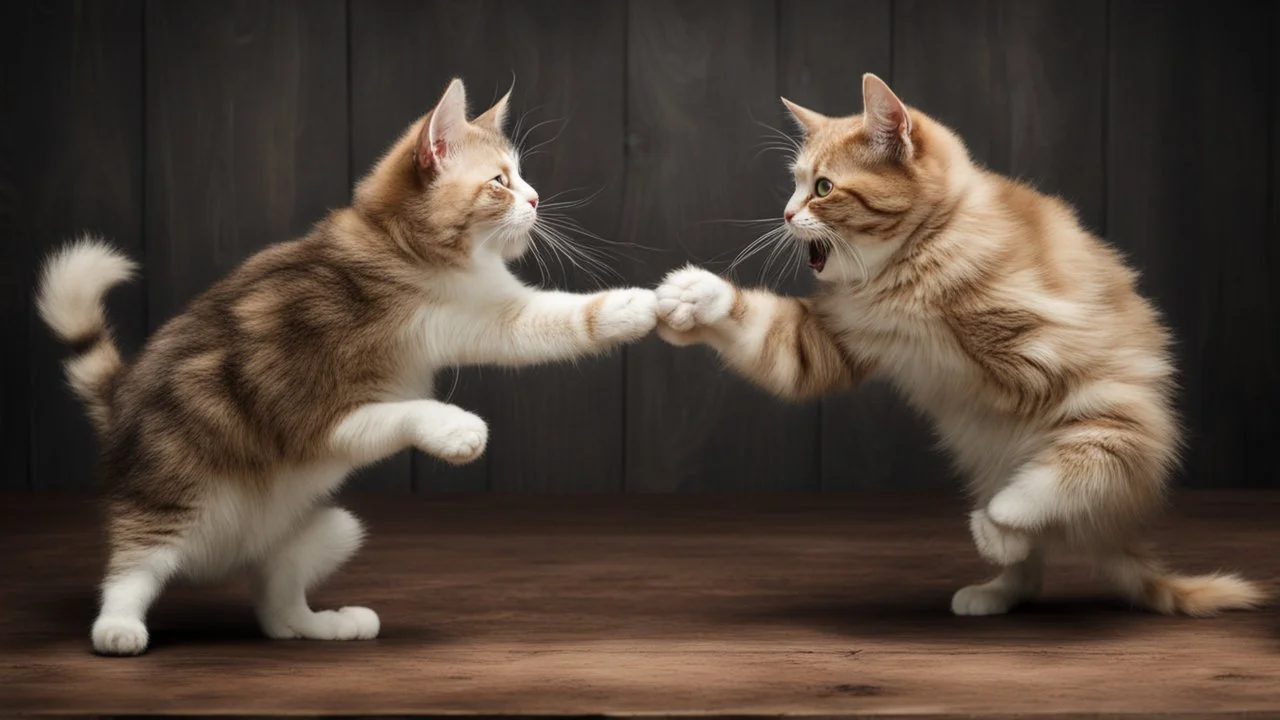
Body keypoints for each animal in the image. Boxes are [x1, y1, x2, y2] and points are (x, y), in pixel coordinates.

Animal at [37, 75, 660, 653]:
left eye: (520, 178)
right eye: (500, 182)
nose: (535, 201)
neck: (402, 250)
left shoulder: (482, 318)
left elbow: (558, 321)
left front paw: (645, 304)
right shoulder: (314, 411)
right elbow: (407, 410)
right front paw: (458, 430)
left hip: (330, 527)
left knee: (275, 606)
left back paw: (322, 624)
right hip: (171, 492)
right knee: (134, 566)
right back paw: (118, 628)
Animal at [655, 71, 1264, 609]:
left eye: (822, 188)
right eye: (795, 184)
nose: (785, 214)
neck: (908, 264)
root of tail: (1117, 536)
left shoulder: (1069, 371)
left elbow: (1038, 424)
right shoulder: (828, 342)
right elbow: (771, 338)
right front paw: (695, 296)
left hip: (1118, 423)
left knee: (1082, 474)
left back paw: (1004, 526)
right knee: (1034, 554)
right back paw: (997, 588)